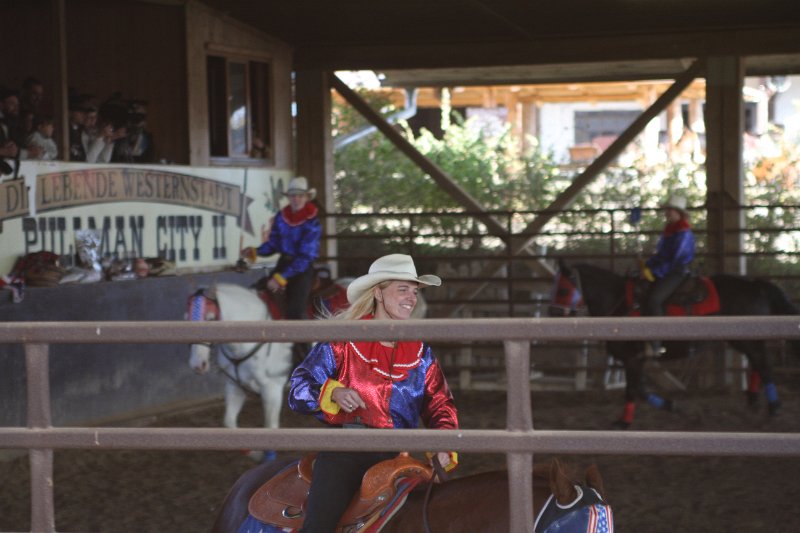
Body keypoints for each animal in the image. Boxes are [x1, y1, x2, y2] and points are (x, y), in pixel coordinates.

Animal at [549, 261, 800, 428]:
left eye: (563, 289)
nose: (553, 313)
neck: (622, 303)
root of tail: (757, 285)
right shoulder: (637, 360)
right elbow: (641, 390)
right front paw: (671, 405)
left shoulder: (633, 359)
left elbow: (633, 390)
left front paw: (623, 422)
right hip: (742, 340)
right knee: (758, 363)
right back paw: (753, 399)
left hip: (749, 340)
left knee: (764, 364)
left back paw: (773, 407)